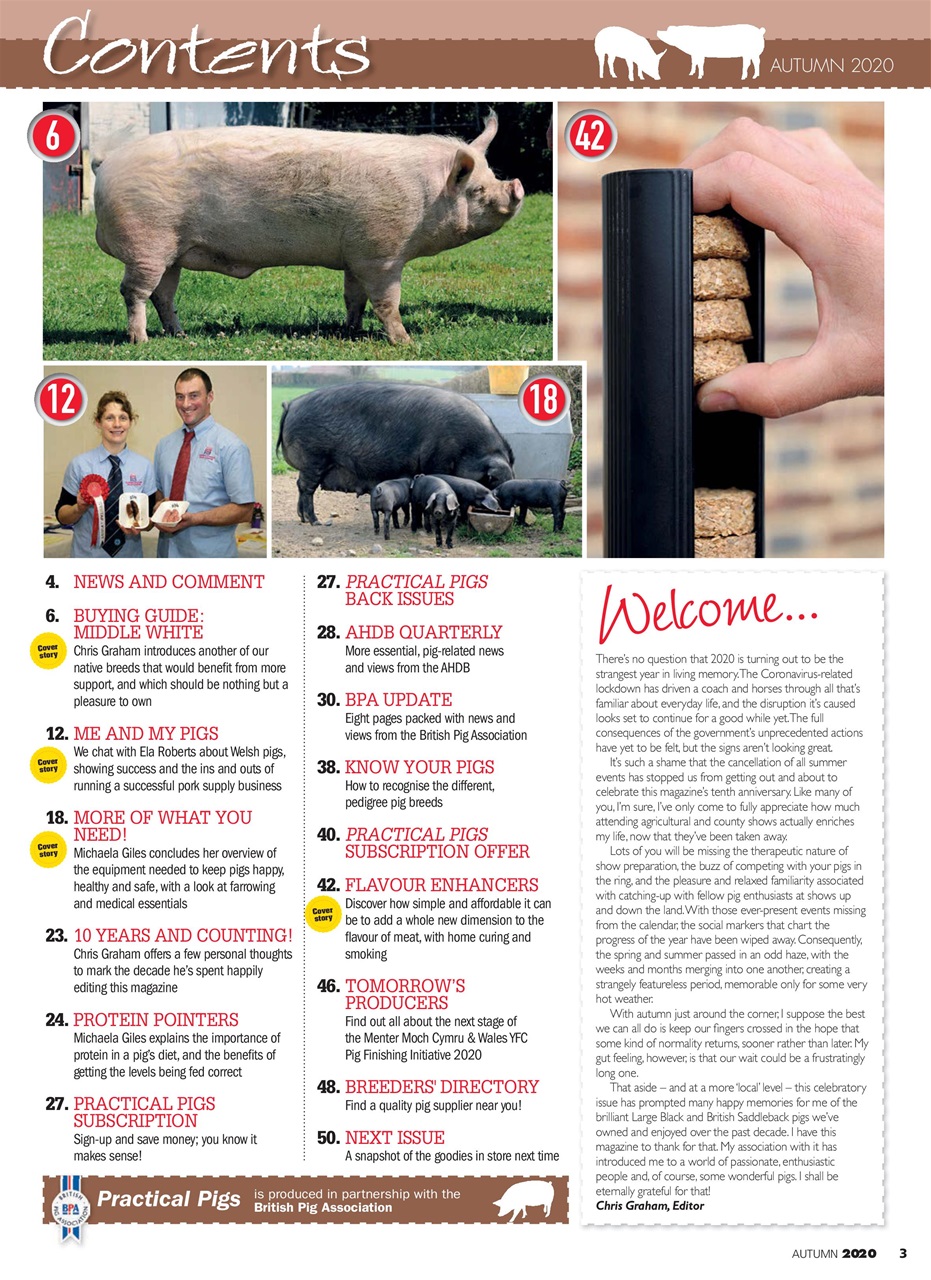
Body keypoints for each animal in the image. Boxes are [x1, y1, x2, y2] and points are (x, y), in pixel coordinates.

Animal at [92, 115, 524, 345]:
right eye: (477, 190)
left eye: (491, 177)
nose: (517, 186)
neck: (427, 195)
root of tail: (105, 164)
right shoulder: (382, 254)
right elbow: (387, 301)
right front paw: (405, 341)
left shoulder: (356, 254)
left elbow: (354, 298)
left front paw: (350, 331)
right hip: (147, 243)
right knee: (134, 292)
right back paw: (141, 340)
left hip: (172, 252)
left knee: (164, 295)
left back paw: (181, 336)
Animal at [277, 383, 515, 526]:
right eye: (494, 481)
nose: (503, 509)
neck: (469, 448)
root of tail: (292, 404)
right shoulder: (437, 460)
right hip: (314, 459)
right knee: (306, 489)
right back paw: (315, 521)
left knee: (300, 487)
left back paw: (302, 519)